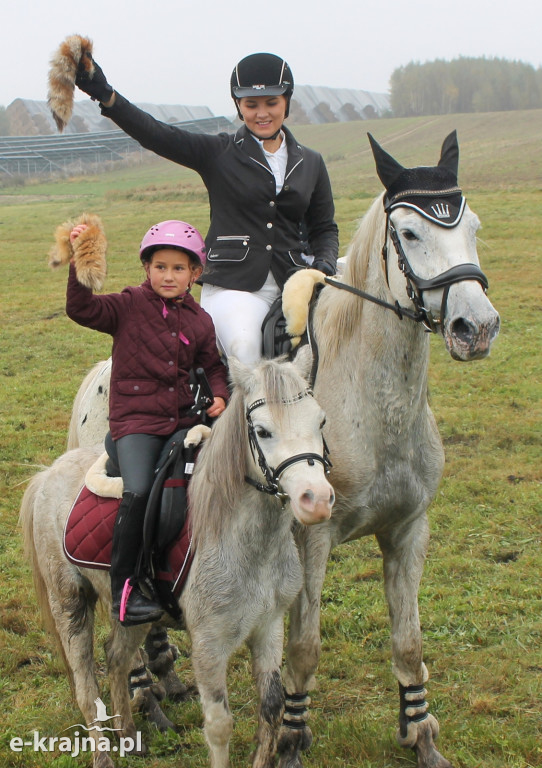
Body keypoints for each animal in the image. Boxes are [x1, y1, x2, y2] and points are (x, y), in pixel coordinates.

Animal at [21, 354, 336, 768]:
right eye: (263, 431)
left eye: (321, 421)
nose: (316, 500)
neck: (246, 543)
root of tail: (47, 474)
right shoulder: (208, 644)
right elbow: (219, 726)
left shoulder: (269, 627)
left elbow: (271, 708)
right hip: (69, 603)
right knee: (87, 688)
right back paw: (106, 753)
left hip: (133, 615)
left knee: (117, 658)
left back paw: (129, 735)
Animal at [61, 132, 500, 768]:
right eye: (410, 233)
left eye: (473, 227)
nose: (477, 327)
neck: (372, 398)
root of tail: (98, 376)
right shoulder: (312, 540)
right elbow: (305, 649)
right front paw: (292, 737)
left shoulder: (408, 528)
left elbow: (409, 643)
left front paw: (420, 735)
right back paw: (147, 698)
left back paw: (166, 679)